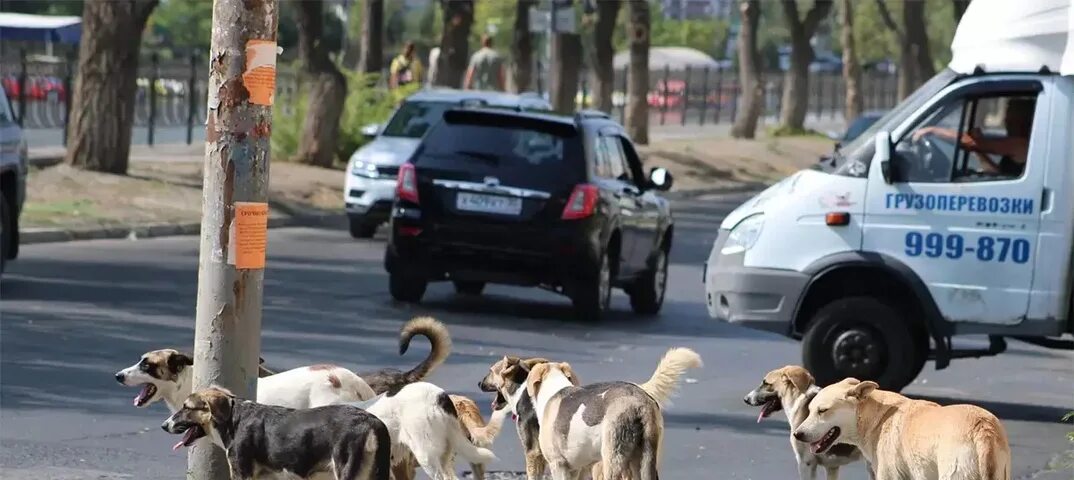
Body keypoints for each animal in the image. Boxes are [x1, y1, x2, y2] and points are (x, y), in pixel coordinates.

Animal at [794, 380, 1009, 480]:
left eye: (822, 411)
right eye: (810, 410)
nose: (797, 434)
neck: (876, 416)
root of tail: (982, 427)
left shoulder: (888, 474)